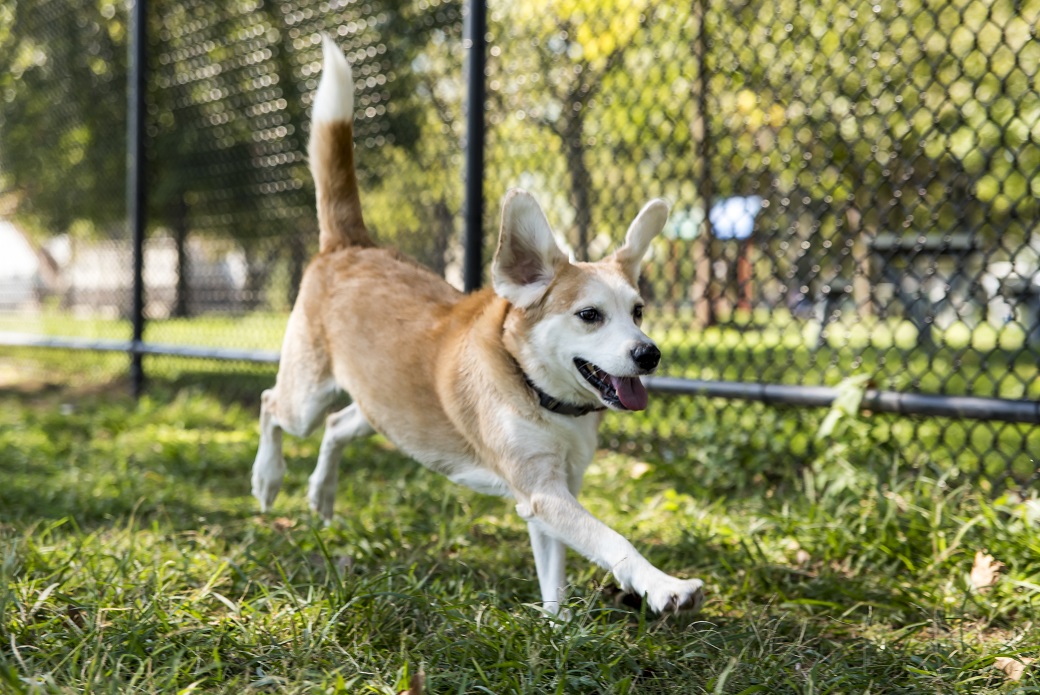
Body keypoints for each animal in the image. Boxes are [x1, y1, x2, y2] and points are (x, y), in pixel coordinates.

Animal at [251, 36, 707, 611]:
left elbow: (554, 575)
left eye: (639, 310)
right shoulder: (543, 492)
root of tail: (351, 244)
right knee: (273, 405)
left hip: (386, 410)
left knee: (335, 427)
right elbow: (613, 541)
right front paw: (664, 585)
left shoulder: (554, 493)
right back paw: (267, 479)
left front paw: (556, 624)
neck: (536, 389)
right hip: (307, 396)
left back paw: (321, 492)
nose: (649, 354)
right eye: (589, 315)